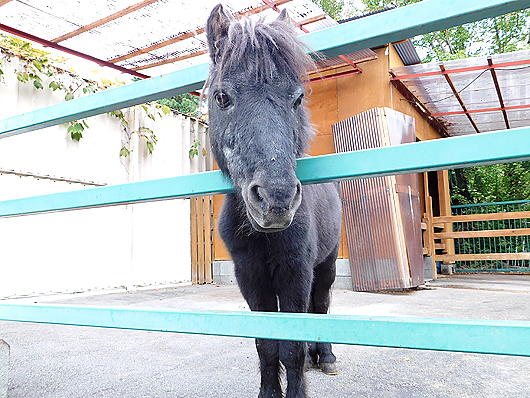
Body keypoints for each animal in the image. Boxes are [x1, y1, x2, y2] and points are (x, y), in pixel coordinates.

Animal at [204, 4, 340, 396]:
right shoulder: (250, 275)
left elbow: (291, 345)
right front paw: (269, 390)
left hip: (326, 266)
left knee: (321, 305)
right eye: (222, 97)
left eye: (297, 99)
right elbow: (266, 343)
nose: (276, 199)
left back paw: (325, 356)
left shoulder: (296, 270)